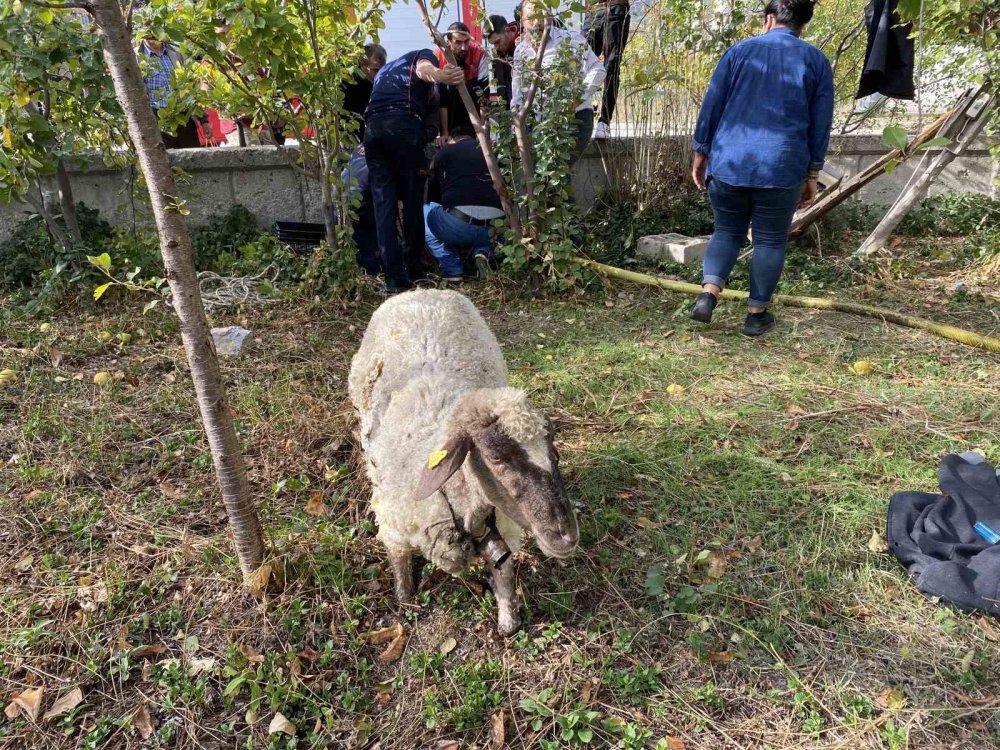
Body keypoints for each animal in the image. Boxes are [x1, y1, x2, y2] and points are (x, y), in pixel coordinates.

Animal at [350, 288, 580, 636]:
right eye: (495, 457)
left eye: (554, 451)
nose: (566, 536)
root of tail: (422, 290)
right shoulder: (394, 528)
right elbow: (402, 582)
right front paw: (404, 600)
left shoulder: (503, 528)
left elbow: (504, 583)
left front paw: (507, 620)